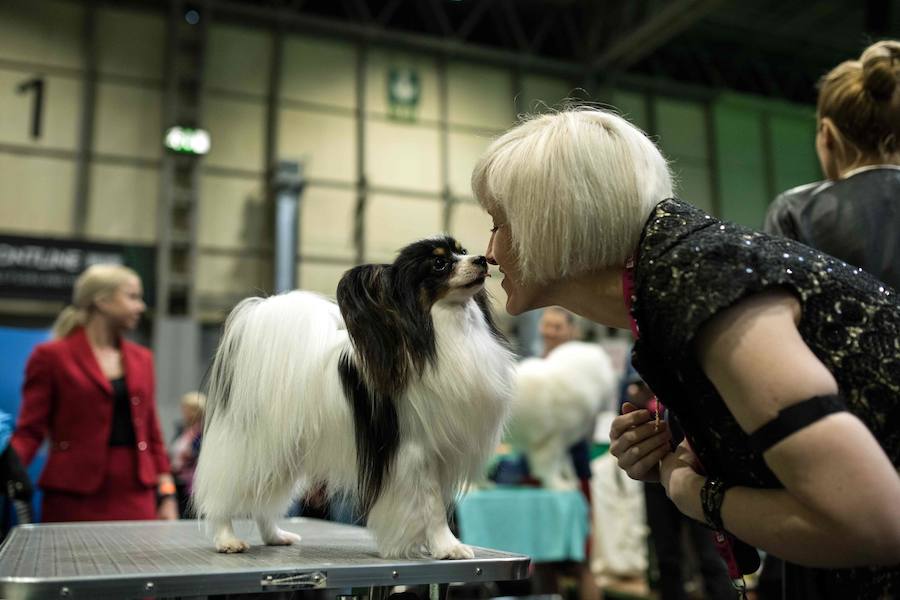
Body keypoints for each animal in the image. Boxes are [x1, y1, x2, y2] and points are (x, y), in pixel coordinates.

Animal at [192, 234, 512, 556]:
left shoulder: (442, 452)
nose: (482, 259)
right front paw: (447, 547)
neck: (446, 329)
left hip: (282, 453)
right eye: (439, 263)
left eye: (462, 251)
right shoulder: (416, 452)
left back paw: (275, 536)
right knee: (224, 492)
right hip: (249, 449)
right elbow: (432, 506)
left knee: (264, 499)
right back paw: (227, 539)